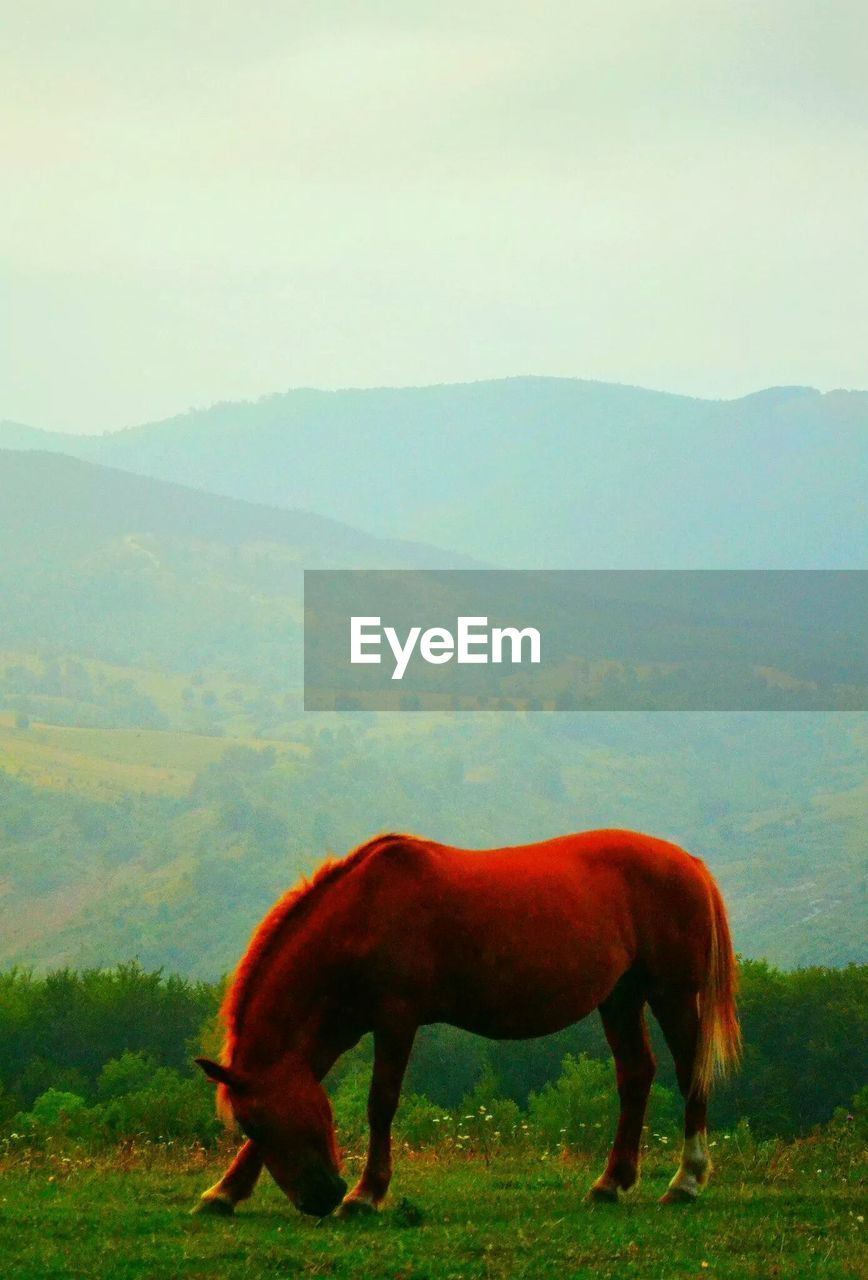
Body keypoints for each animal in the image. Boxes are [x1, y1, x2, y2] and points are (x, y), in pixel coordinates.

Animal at [195, 829, 742, 1218]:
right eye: (250, 1123)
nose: (321, 1198)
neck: (363, 912)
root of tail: (688, 863)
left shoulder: (395, 1020)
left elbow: (381, 1104)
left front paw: (366, 1194)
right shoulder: (335, 1031)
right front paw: (224, 1191)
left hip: (671, 994)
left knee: (689, 1074)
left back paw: (686, 1181)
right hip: (620, 998)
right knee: (636, 1076)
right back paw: (610, 1183)